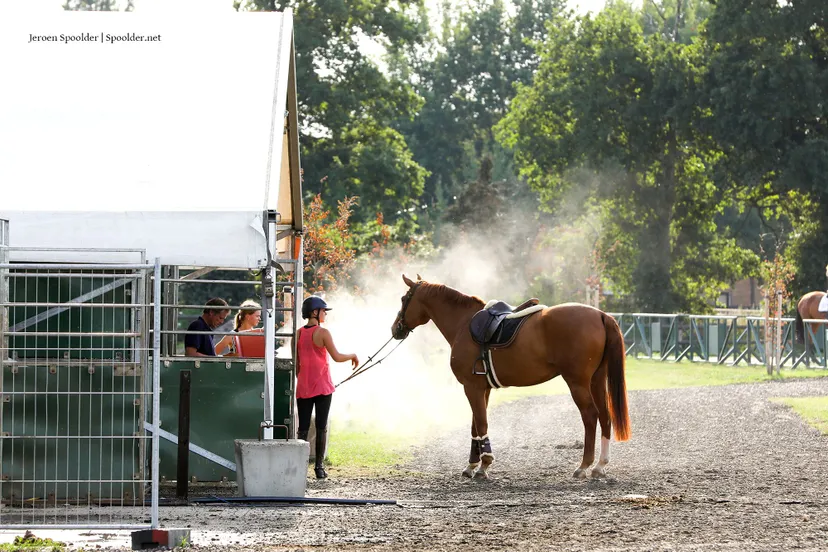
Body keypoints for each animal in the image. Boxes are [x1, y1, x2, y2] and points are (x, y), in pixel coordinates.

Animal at [390, 274, 630, 480]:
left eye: (403, 299)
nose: (395, 328)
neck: (463, 324)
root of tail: (600, 314)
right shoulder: (481, 388)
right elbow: (475, 425)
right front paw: (472, 465)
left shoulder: (471, 387)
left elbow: (481, 424)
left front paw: (484, 465)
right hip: (596, 380)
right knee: (605, 416)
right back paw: (599, 466)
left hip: (577, 383)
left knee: (590, 416)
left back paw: (584, 466)